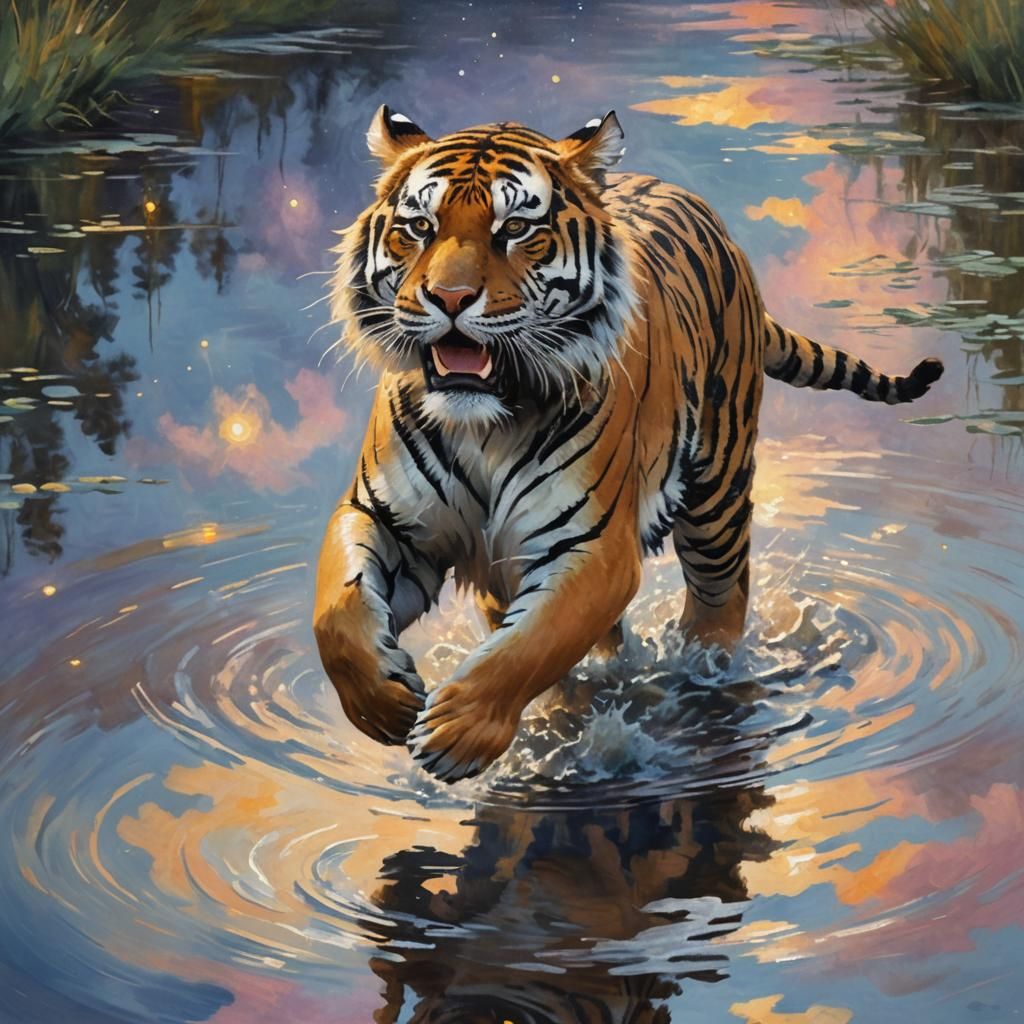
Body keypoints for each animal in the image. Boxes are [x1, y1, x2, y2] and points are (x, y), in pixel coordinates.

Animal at [313, 105, 944, 783]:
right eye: (419, 227)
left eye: (515, 228)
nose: (449, 298)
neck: (485, 422)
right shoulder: (382, 516)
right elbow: (337, 611)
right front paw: (383, 703)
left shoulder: (592, 546)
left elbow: (533, 644)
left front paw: (458, 733)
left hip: (718, 495)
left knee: (721, 601)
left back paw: (704, 676)